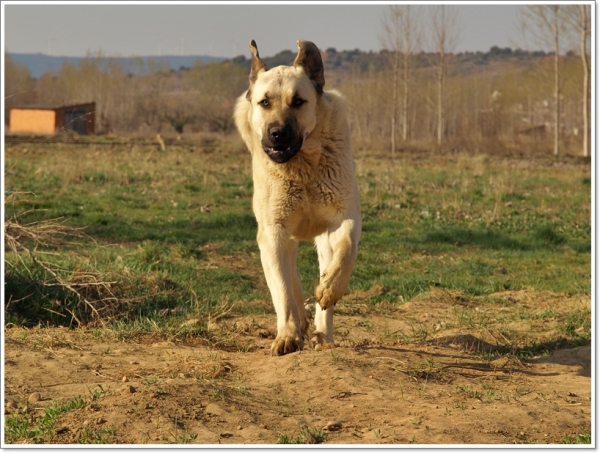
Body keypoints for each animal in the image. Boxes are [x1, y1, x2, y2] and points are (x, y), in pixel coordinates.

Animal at [234, 38, 360, 354]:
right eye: (265, 102)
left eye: (298, 101)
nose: (278, 133)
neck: (302, 168)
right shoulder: (273, 232)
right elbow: (282, 290)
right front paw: (288, 335)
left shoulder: (344, 216)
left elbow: (347, 250)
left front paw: (329, 290)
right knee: (290, 278)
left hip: (322, 239)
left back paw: (323, 334)